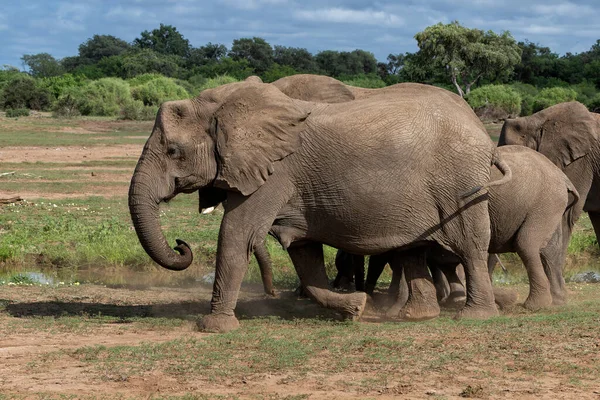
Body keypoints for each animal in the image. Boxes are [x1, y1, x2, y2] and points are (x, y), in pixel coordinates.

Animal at [129, 75, 508, 332]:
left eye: (173, 151)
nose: (181, 244)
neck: (225, 106)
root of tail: (480, 128)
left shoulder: (277, 173)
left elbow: (238, 234)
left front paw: (213, 327)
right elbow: (304, 253)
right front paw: (356, 308)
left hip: (459, 182)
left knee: (470, 246)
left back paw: (474, 316)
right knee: (412, 251)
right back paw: (414, 317)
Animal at [336, 145, 576, 314]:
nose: (358, 291)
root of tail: (563, 176)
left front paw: (390, 308)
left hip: (544, 202)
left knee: (526, 245)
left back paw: (535, 305)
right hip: (548, 205)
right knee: (547, 249)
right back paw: (557, 300)